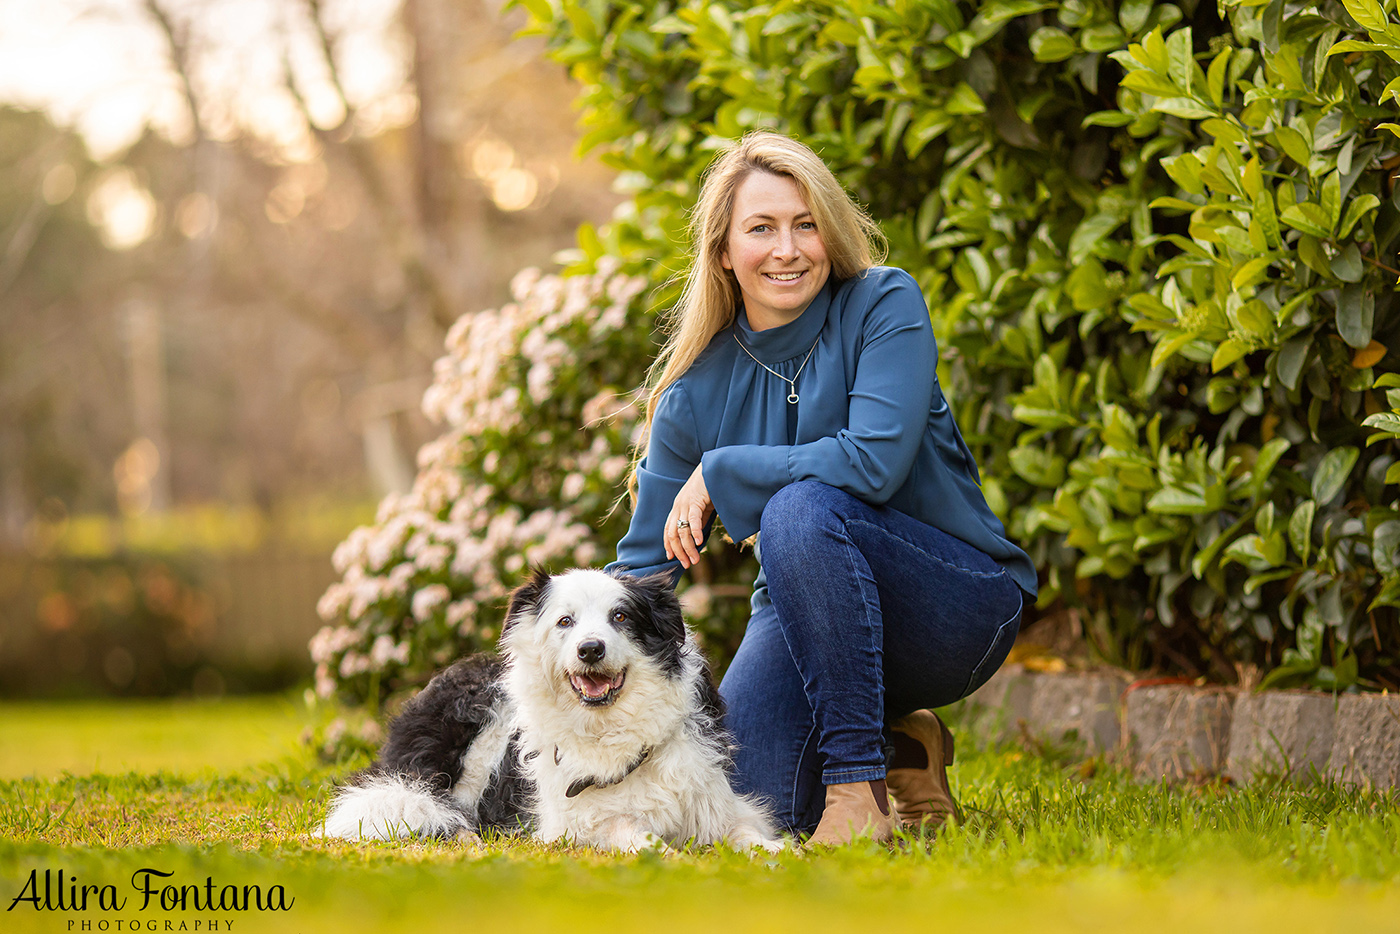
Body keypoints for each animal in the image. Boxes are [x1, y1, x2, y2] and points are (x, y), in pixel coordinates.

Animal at [320, 565, 784, 851]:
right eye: (565, 622)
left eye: (620, 617)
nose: (590, 649)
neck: (607, 726)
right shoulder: (567, 824)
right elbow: (628, 831)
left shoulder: (712, 803)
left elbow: (743, 832)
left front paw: (776, 852)